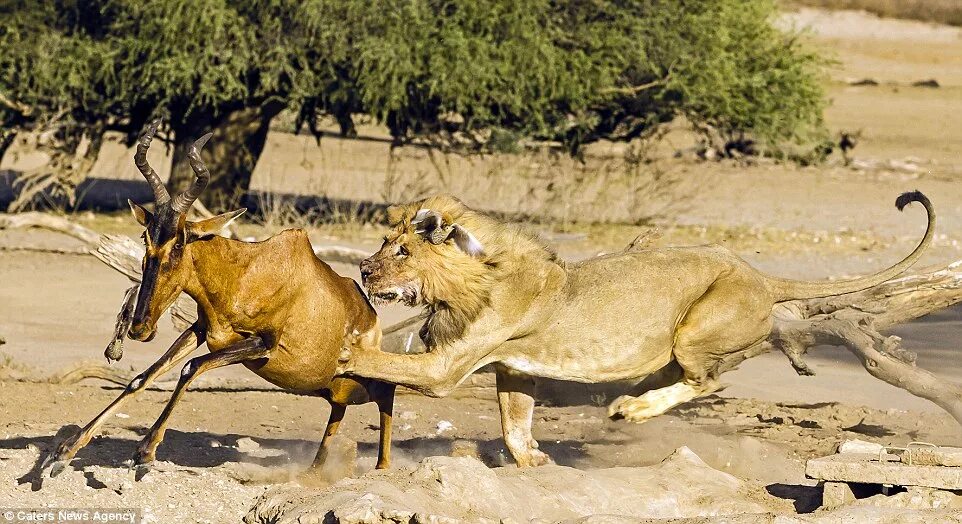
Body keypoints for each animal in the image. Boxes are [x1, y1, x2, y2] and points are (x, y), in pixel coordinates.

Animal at [41, 119, 394, 478]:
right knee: (338, 410)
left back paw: (381, 467)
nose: (140, 328)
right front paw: (62, 453)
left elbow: (190, 368)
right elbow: (142, 377)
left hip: (368, 378)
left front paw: (144, 454)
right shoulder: (200, 330)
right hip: (333, 387)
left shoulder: (261, 344)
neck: (248, 273)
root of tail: (371, 317)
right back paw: (313, 471)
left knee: (387, 397)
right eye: (145, 237)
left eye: (180, 242)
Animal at [338, 192, 928, 466]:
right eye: (384, 245)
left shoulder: (449, 366)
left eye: (402, 250)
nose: (363, 270)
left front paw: (349, 351)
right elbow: (514, 422)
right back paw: (628, 407)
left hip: (693, 330)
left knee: (708, 381)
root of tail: (761, 276)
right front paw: (535, 461)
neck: (476, 274)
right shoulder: (514, 366)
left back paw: (634, 411)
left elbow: (390, 361)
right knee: (694, 378)